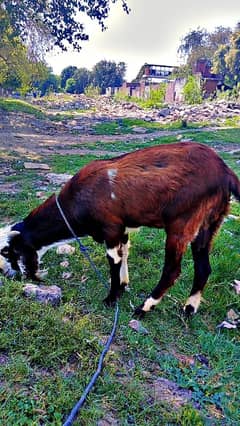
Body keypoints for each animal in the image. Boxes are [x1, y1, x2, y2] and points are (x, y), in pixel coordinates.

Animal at [0, 143, 239, 316]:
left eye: (8, 252)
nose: (10, 276)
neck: (76, 202)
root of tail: (225, 172)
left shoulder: (111, 228)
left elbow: (113, 260)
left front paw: (111, 298)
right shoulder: (122, 229)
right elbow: (125, 254)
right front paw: (123, 286)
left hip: (182, 223)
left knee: (172, 270)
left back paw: (144, 308)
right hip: (209, 222)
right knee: (203, 267)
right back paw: (189, 309)